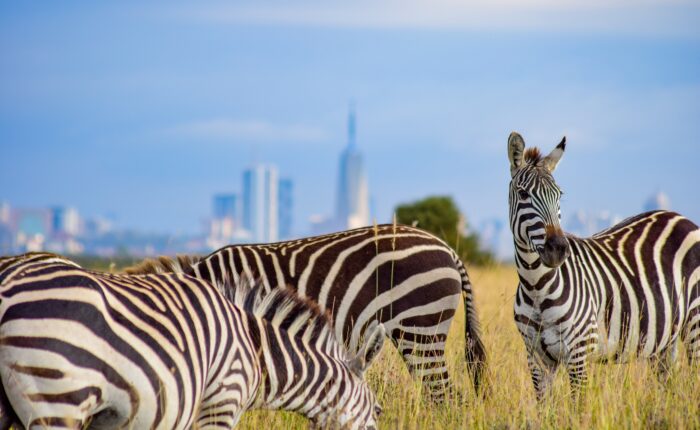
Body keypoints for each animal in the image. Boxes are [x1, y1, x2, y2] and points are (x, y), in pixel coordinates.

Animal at [506, 132, 700, 400]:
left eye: (559, 195)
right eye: (523, 194)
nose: (558, 249)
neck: (536, 286)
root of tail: (680, 217)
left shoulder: (578, 352)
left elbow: (578, 406)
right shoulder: (536, 358)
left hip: (695, 322)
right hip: (665, 338)